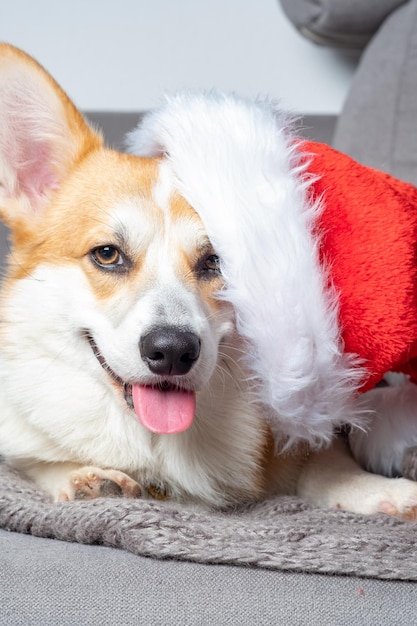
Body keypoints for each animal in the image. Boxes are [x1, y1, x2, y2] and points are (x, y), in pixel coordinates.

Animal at [0, 41, 416, 516]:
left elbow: (326, 462)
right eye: (107, 254)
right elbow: (39, 458)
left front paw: (374, 489)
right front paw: (83, 476)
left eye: (216, 262)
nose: (172, 352)